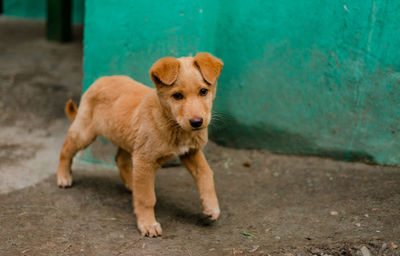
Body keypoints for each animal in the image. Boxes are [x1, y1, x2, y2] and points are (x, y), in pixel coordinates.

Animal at [57, 52, 222, 238]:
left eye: (203, 91)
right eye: (177, 96)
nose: (196, 122)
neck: (171, 123)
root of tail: (100, 79)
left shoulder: (190, 152)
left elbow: (206, 174)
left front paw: (212, 207)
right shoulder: (145, 161)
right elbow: (147, 198)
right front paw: (148, 224)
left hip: (129, 139)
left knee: (120, 160)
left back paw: (132, 184)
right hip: (85, 133)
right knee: (66, 149)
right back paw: (63, 176)